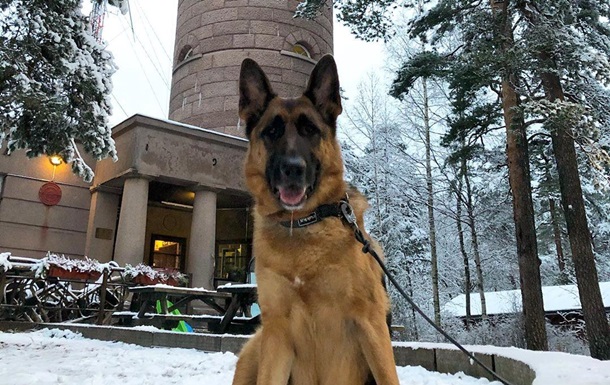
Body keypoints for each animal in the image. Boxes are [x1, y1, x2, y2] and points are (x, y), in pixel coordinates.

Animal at [233, 54, 400, 384]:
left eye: (310, 130)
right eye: (272, 132)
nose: (293, 168)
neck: (303, 225)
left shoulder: (371, 324)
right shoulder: (276, 332)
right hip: (254, 350)